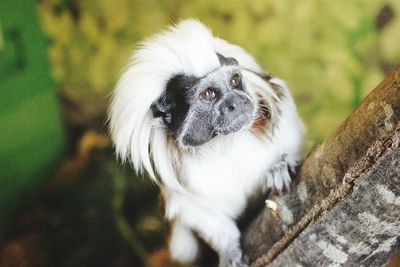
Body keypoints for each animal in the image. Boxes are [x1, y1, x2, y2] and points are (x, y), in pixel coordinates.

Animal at [108, 19, 304, 267]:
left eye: (235, 81)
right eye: (209, 94)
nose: (235, 102)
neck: (225, 143)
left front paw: (281, 165)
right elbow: (200, 214)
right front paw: (229, 251)